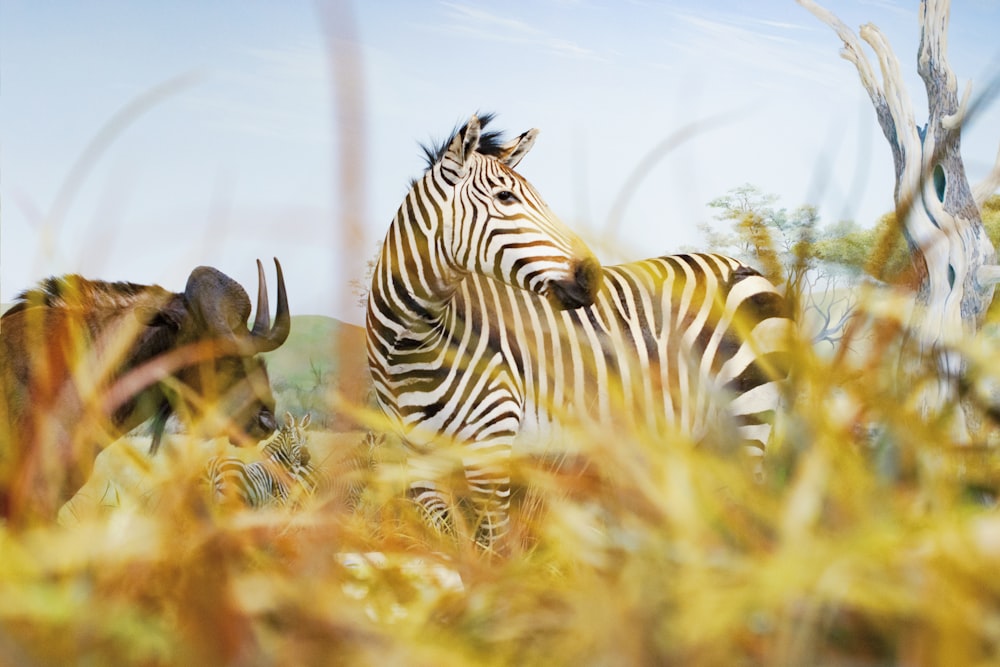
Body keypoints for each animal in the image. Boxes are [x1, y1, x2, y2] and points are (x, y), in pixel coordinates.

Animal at [364, 113, 792, 552]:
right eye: (505, 198)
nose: (592, 276)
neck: (409, 344)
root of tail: (743, 265)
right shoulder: (416, 459)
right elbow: (446, 547)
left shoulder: (491, 446)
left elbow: (493, 549)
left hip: (749, 409)